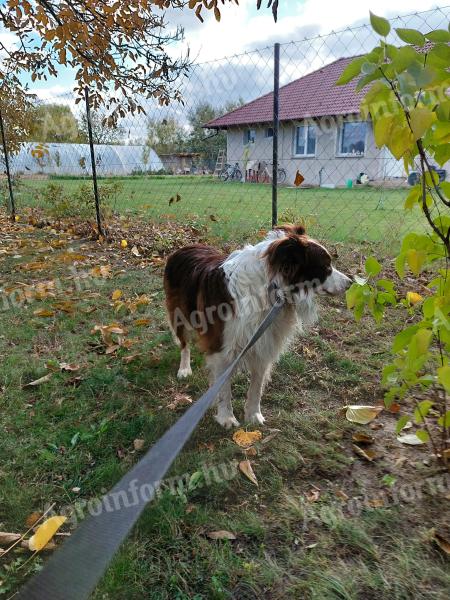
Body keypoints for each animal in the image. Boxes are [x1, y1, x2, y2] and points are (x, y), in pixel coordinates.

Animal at [165, 224, 352, 426]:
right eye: (325, 267)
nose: (350, 283)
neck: (272, 289)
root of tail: (184, 247)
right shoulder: (222, 347)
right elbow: (224, 389)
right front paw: (226, 417)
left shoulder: (264, 341)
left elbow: (256, 386)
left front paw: (253, 415)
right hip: (180, 315)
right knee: (184, 344)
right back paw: (185, 369)